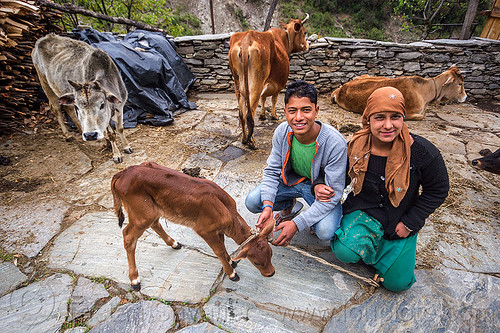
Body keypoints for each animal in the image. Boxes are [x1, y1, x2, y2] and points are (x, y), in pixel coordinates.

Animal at [31, 33, 133, 162]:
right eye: (78, 107)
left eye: (102, 104)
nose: (90, 135)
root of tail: (42, 40)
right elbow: (111, 134)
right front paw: (116, 154)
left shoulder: (120, 108)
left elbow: (120, 129)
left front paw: (126, 147)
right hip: (45, 84)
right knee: (57, 109)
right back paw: (68, 134)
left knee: (68, 108)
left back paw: (81, 130)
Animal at [110, 162, 274, 290]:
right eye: (257, 262)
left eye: (271, 254)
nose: (271, 273)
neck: (226, 209)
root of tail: (122, 173)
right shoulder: (205, 229)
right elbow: (219, 250)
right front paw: (231, 273)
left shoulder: (218, 230)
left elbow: (222, 245)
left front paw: (230, 261)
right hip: (141, 214)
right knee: (128, 235)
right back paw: (134, 280)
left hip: (151, 211)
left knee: (155, 224)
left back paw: (174, 243)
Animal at [229, 14, 308, 147]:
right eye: (305, 32)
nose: (307, 45)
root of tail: (247, 37)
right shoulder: (279, 84)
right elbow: (273, 99)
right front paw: (274, 115)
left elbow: (264, 97)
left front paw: (263, 115)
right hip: (256, 83)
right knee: (250, 112)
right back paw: (252, 141)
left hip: (238, 83)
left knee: (241, 112)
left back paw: (244, 139)